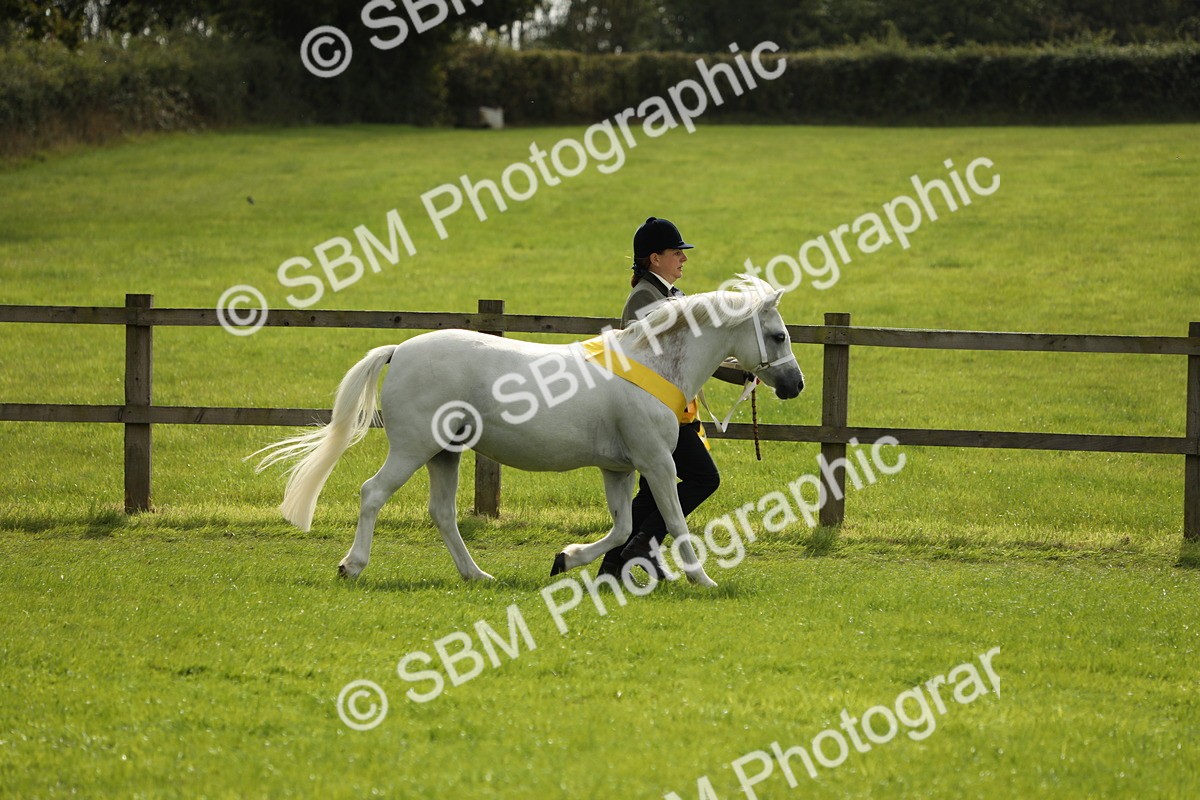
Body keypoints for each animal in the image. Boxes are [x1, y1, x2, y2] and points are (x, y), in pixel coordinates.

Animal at [251, 275, 805, 588]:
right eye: (778, 335)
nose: (795, 384)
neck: (652, 364)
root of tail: (399, 350)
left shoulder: (619, 470)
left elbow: (624, 527)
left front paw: (567, 559)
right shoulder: (657, 464)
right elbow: (674, 522)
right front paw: (703, 579)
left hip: (445, 453)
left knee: (442, 513)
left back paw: (476, 575)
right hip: (413, 448)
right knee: (372, 493)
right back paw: (353, 566)